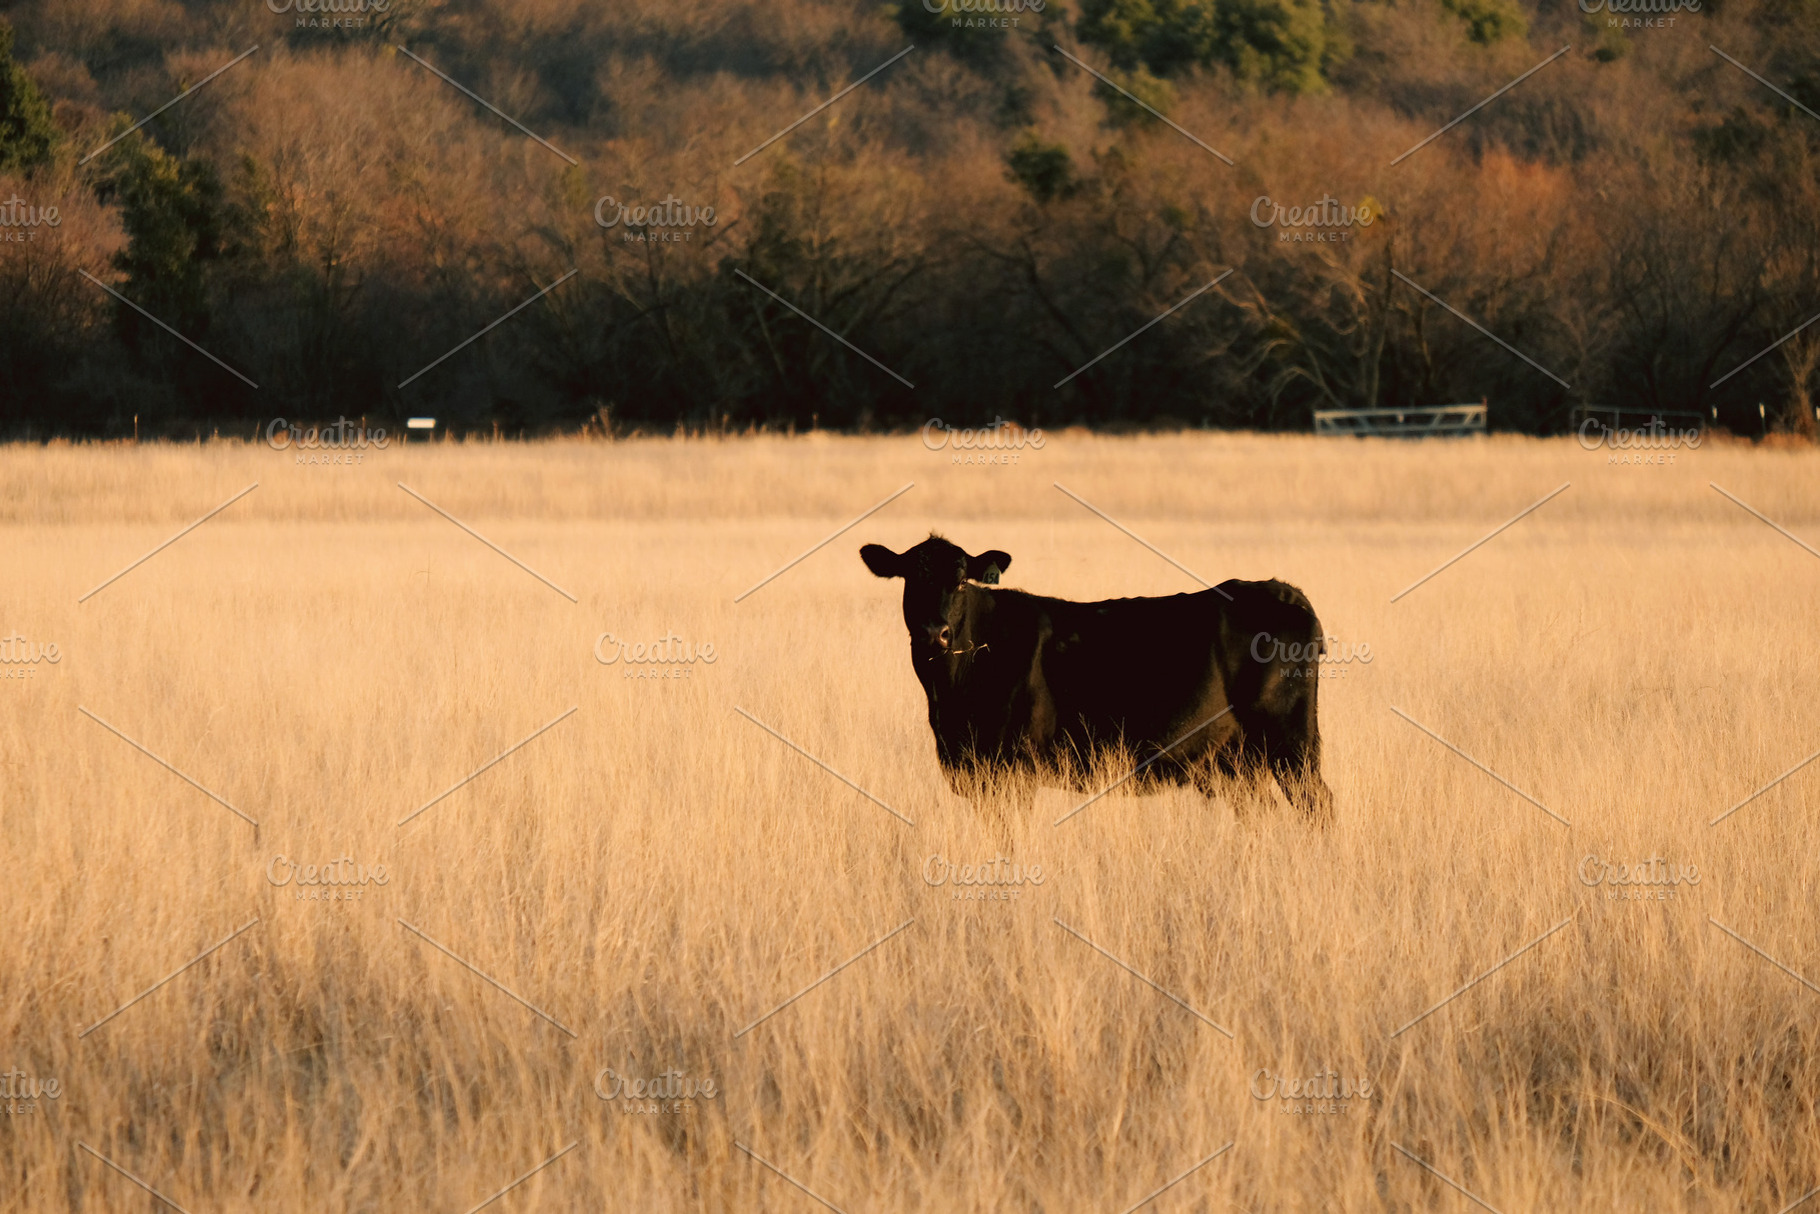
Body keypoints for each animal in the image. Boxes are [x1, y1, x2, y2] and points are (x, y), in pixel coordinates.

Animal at [860, 534, 1335, 826]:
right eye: (909, 579)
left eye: (961, 581)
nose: (933, 633)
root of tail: (1282, 589)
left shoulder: (1012, 770)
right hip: (1236, 760)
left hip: (1290, 740)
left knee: (1318, 805)